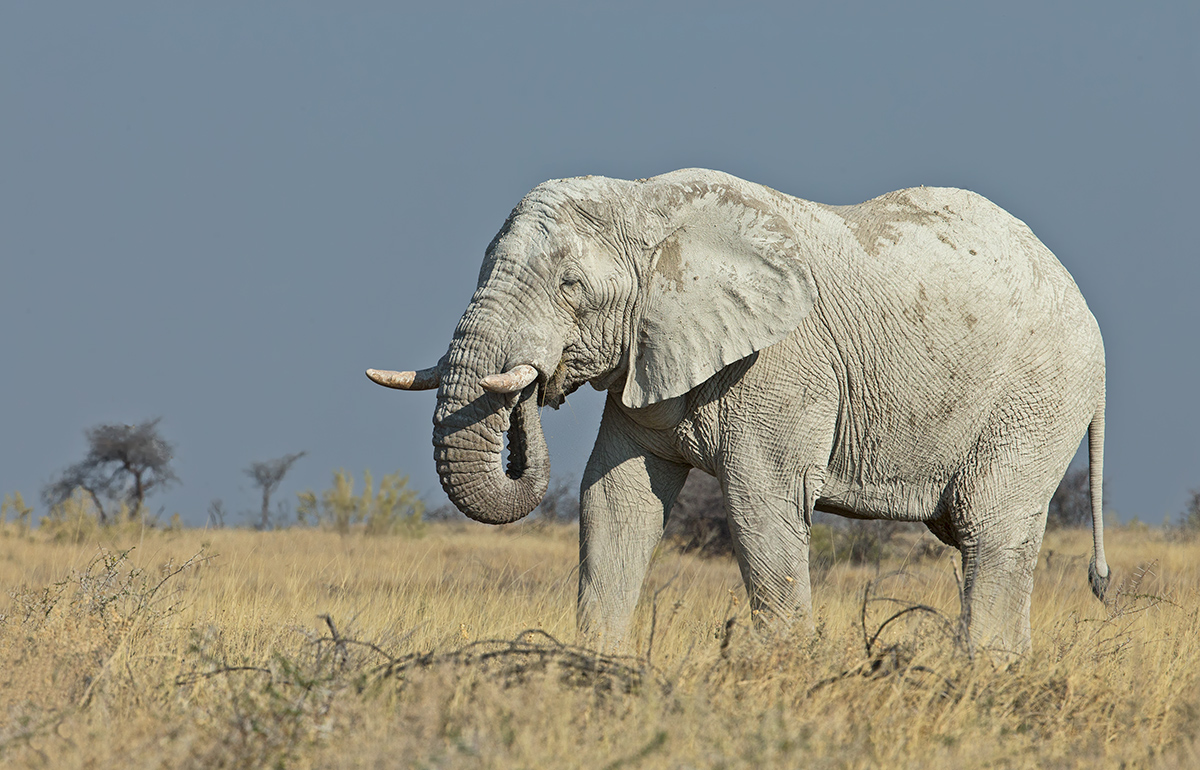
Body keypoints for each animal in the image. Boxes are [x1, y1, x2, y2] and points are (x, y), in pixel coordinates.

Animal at [368, 168, 1109, 655]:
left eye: (571, 286)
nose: (533, 390)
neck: (648, 203)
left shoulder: (781, 364)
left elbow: (761, 505)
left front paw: (789, 673)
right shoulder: (650, 354)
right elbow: (615, 501)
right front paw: (595, 664)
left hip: (1036, 398)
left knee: (990, 532)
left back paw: (984, 675)